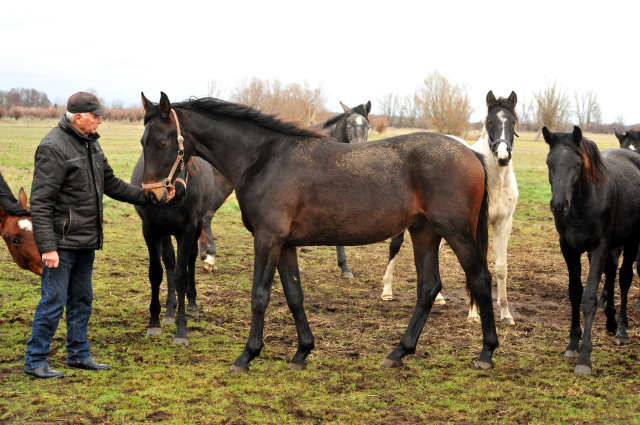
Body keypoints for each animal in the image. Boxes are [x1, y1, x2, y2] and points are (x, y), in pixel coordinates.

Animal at [380, 90, 520, 324]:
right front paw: (474, 313)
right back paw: (387, 291)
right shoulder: (475, 226)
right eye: (490, 122)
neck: (495, 180)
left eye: (513, 122)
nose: (502, 157)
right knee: (395, 245)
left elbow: (501, 268)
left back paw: (437, 297)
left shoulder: (504, 223)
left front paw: (506, 313)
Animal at [544, 126, 640, 374]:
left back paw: (622, 330)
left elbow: (589, 298)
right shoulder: (569, 248)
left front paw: (585, 357)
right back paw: (611, 322)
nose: (559, 205)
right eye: (549, 162)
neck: (582, 204)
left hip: (632, 240)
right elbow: (575, 293)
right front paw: (572, 344)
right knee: (612, 273)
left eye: (578, 164)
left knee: (624, 278)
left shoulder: (598, 247)